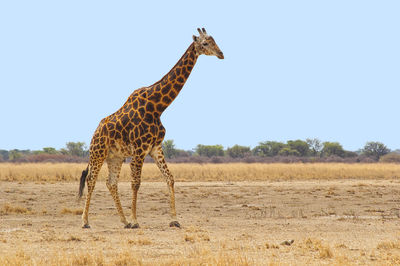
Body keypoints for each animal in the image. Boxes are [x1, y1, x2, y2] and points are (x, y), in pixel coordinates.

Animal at [76, 28, 223, 229]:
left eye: (215, 40)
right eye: (205, 43)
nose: (221, 54)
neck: (157, 107)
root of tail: (96, 131)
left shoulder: (155, 147)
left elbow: (170, 178)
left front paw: (174, 220)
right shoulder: (139, 149)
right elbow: (136, 183)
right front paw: (135, 220)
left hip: (115, 157)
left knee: (111, 182)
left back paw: (123, 221)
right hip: (98, 152)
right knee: (91, 179)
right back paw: (85, 221)